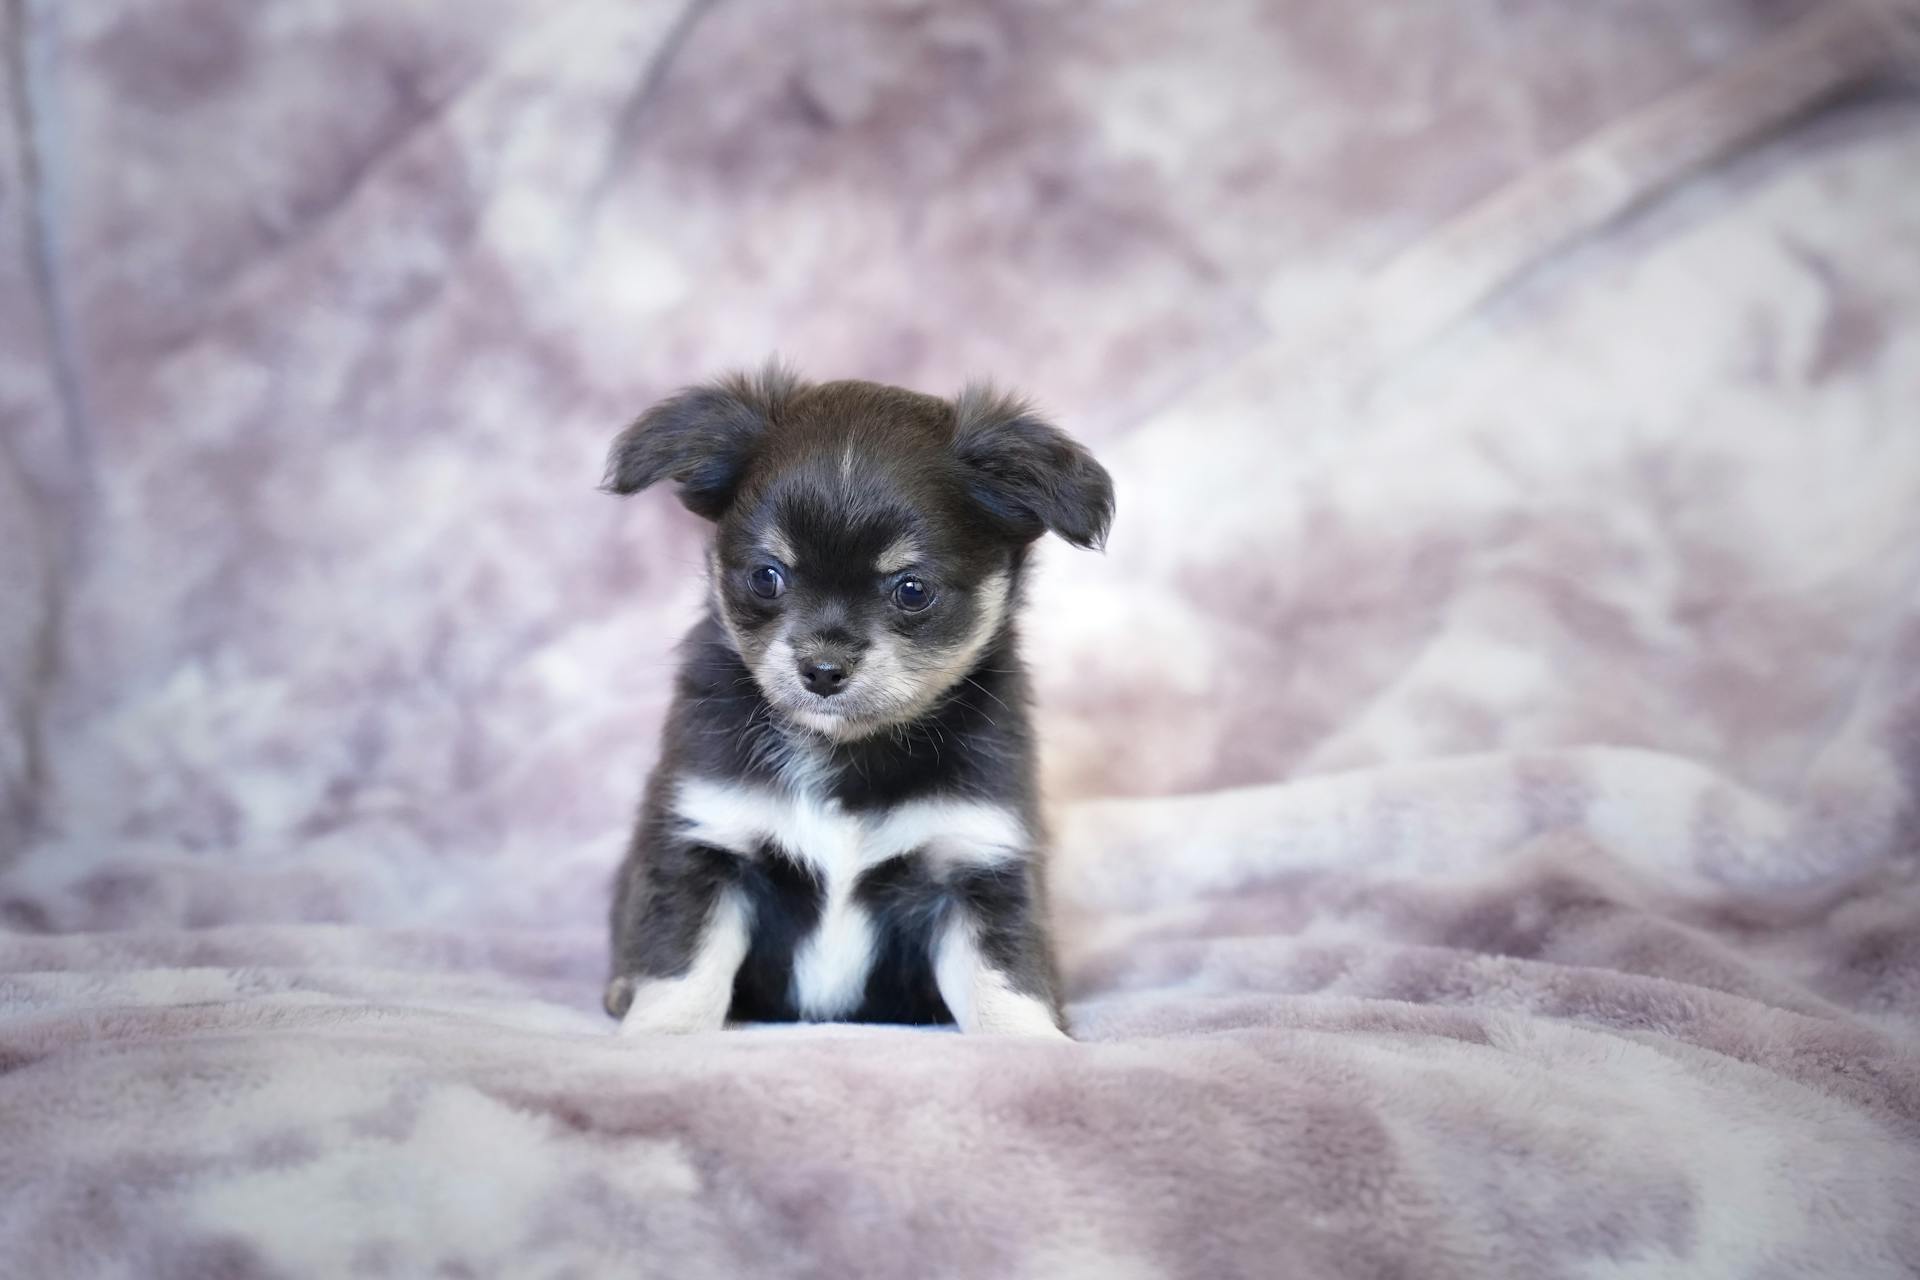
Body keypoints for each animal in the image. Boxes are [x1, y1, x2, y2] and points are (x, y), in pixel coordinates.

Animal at [599, 362, 1113, 1043]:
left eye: (912, 590)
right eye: (766, 576)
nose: (822, 668)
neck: (846, 752)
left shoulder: (975, 859)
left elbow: (1003, 978)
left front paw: (1032, 1044)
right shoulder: (705, 842)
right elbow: (683, 963)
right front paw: (664, 1037)